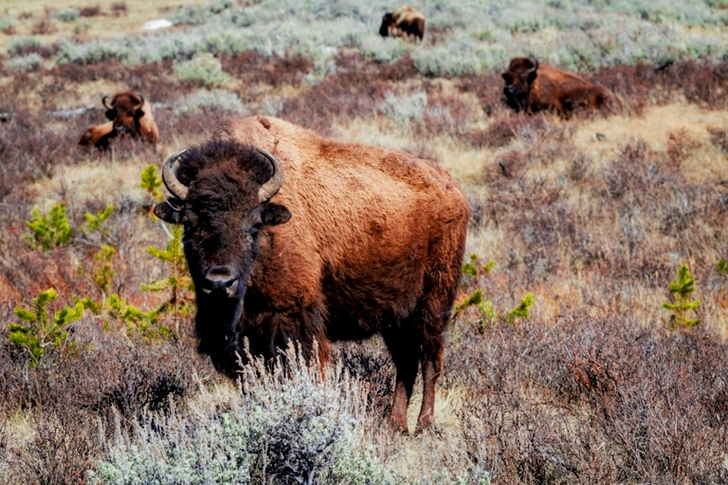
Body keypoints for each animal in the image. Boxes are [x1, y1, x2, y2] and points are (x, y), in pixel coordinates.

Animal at [153, 116, 468, 433]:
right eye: (190, 223)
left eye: (254, 225)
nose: (220, 283)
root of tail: (451, 188)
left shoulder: (294, 321)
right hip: (396, 317)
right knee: (406, 363)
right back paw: (395, 424)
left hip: (433, 303)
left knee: (430, 360)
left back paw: (424, 424)